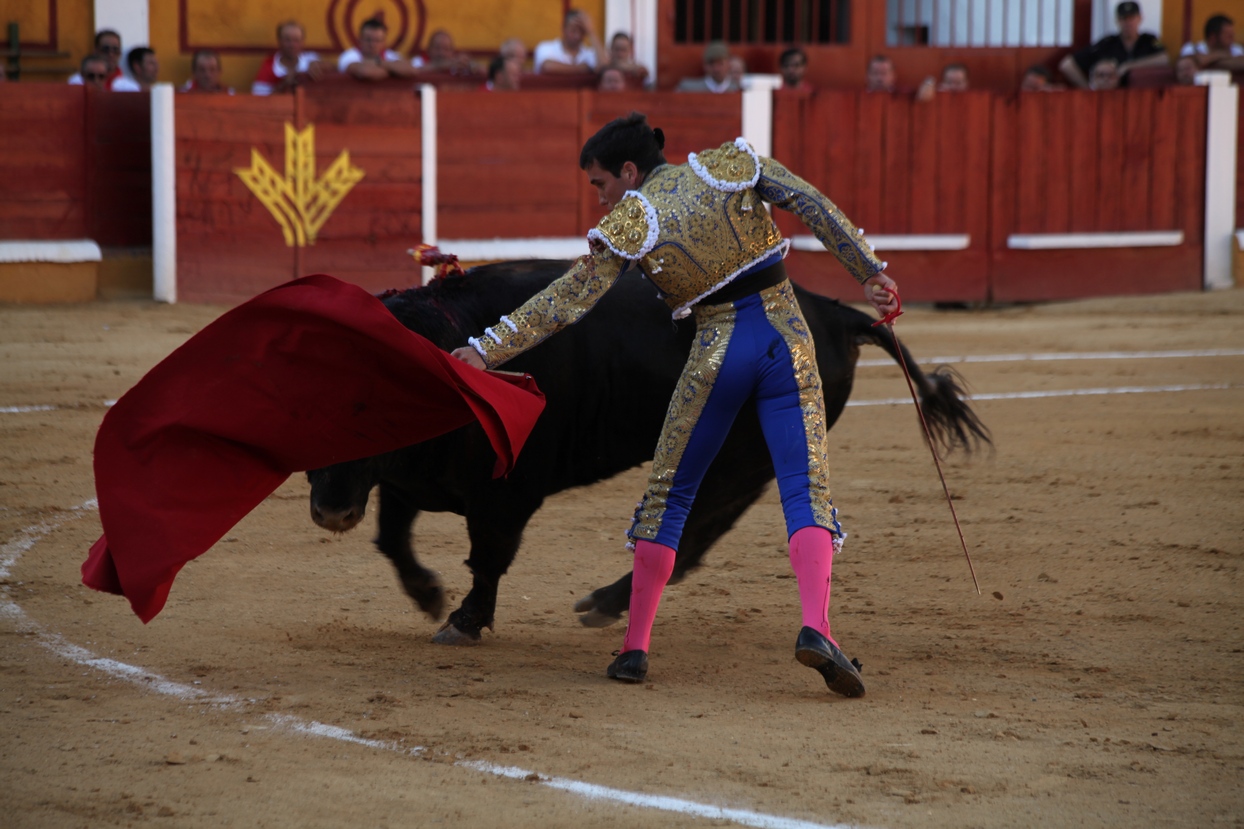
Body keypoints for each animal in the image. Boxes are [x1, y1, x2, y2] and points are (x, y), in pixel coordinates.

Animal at [306, 261, 985, 642]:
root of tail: (835, 313)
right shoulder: (404, 479)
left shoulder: (508, 493)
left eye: (372, 406)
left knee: (694, 526)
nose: (329, 512)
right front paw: (428, 596)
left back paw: (607, 602)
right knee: (701, 535)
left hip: (734, 461)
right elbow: (393, 536)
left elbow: (489, 555)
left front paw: (464, 621)